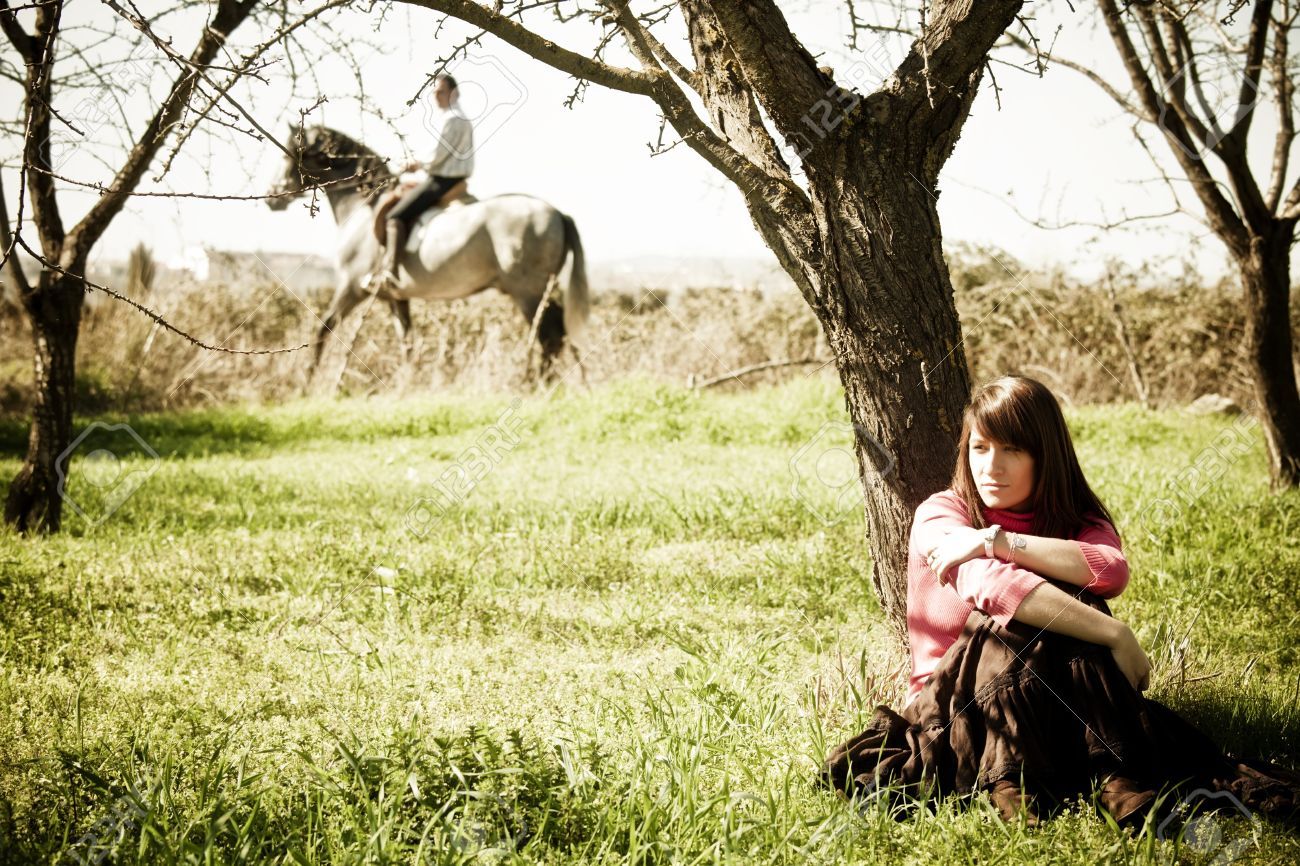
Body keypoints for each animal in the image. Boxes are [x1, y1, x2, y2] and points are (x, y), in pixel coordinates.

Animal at [267, 124, 590, 377]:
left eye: (289, 153)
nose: (272, 197)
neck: (363, 209)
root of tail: (557, 213)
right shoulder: (396, 298)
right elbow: (406, 343)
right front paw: (407, 383)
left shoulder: (351, 288)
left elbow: (323, 330)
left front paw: (307, 381)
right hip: (543, 290)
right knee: (559, 334)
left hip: (528, 293)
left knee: (550, 337)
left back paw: (535, 384)